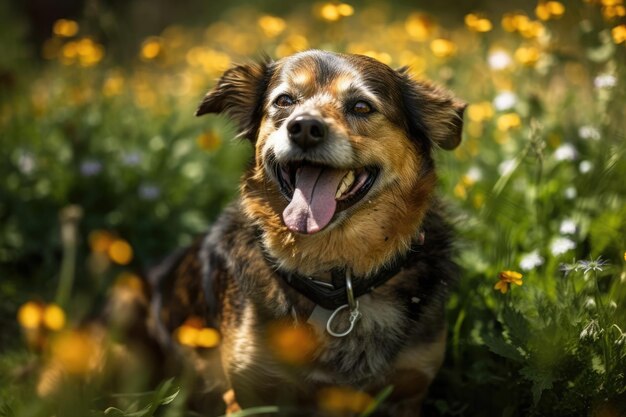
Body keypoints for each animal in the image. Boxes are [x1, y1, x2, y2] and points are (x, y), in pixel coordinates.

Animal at [58, 50, 466, 414]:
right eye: (284, 101)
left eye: (362, 107)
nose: (304, 128)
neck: (336, 277)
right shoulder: (249, 395)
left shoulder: (407, 393)